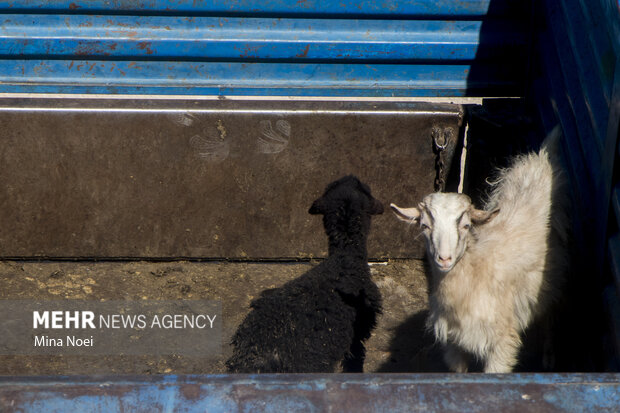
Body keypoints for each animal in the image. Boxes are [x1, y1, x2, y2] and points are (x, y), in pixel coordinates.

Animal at [390, 127, 568, 372]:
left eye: (465, 225)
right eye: (425, 226)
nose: (444, 259)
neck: (476, 275)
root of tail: (540, 161)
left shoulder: (501, 344)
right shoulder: (454, 343)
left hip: (552, 280)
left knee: (551, 313)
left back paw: (549, 358)